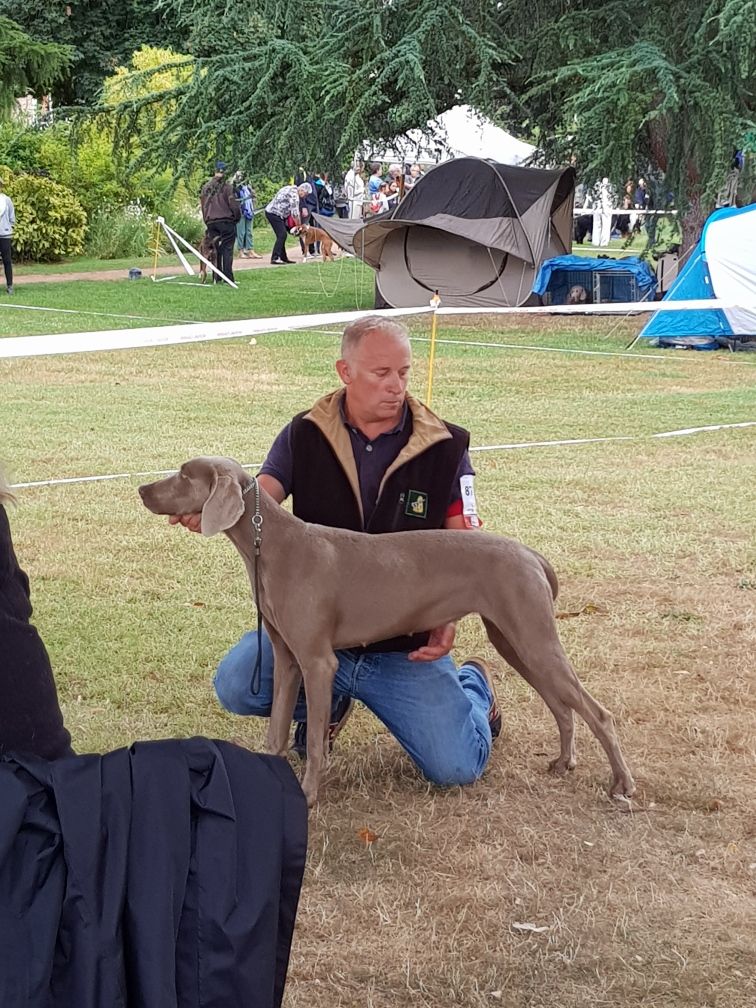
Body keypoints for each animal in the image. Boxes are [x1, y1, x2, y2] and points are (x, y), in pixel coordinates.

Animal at [139, 455, 637, 802]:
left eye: (183, 475)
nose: (142, 488)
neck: (271, 545)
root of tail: (531, 554)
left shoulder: (317, 661)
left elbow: (314, 742)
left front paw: (309, 796)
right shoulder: (285, 657)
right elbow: (276, 730)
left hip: (532, 634)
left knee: (598, 713)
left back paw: (622, 784)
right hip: (514, 638)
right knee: (562, 706)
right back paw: (564, 762)